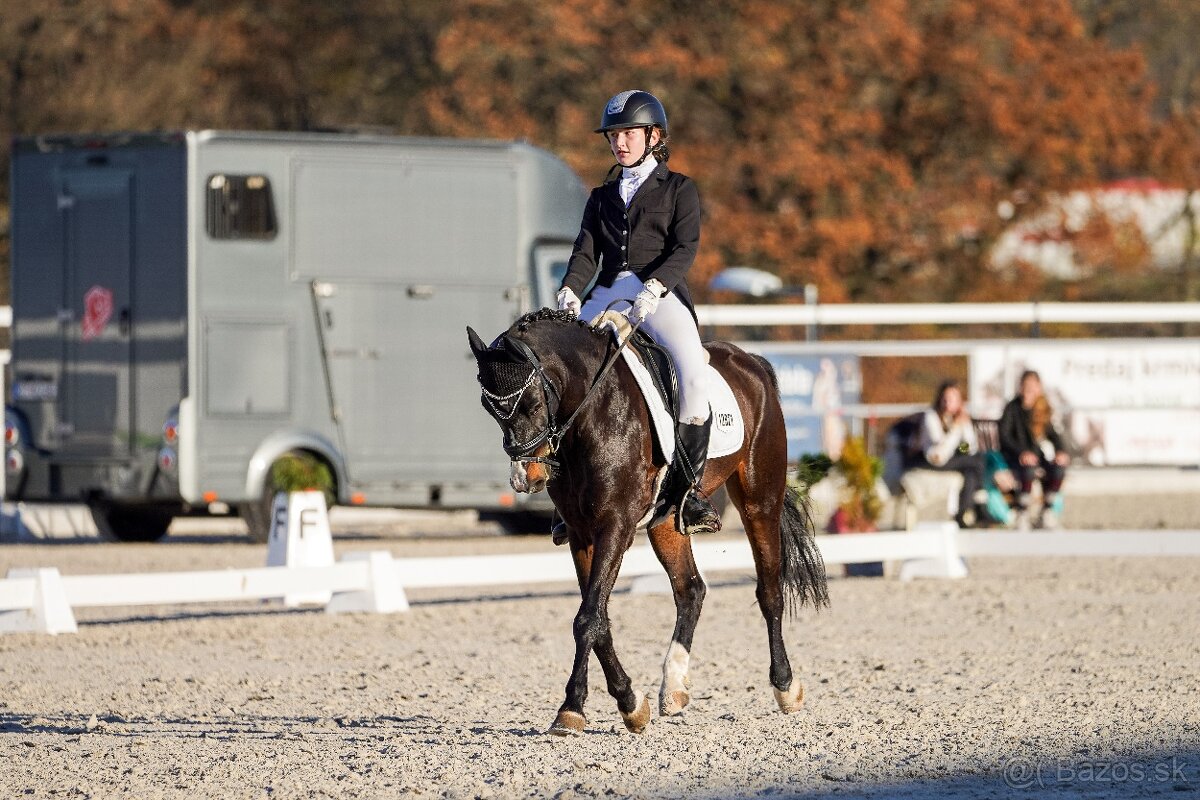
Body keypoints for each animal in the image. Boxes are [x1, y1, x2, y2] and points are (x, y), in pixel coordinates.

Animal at [467, 308, 828, 735]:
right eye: (489, 409)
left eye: (534, 402)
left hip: (760, 500)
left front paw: (571, 709)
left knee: (769, 589)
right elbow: (598, 618)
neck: (592, 412)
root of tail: (751, 362)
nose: (527, 479)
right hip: (666, 522)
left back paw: (785, 686)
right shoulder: (582, 533)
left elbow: (588, 618)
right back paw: (673, 687)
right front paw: (629, 703)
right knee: (690, 590)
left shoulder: (615, 526)